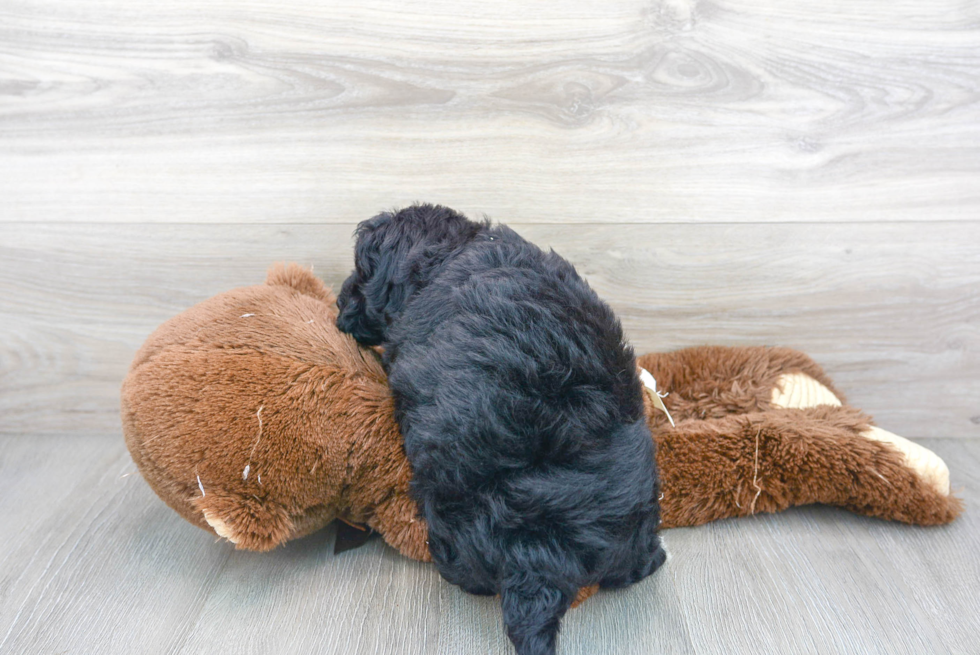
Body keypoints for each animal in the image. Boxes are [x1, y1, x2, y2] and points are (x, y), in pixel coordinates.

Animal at [336, 205, 668, 655]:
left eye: (360, 272)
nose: (337, 302)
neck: (451, 250)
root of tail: (545, 558)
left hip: (452, 516)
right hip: (636, 525)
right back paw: (653, 559)